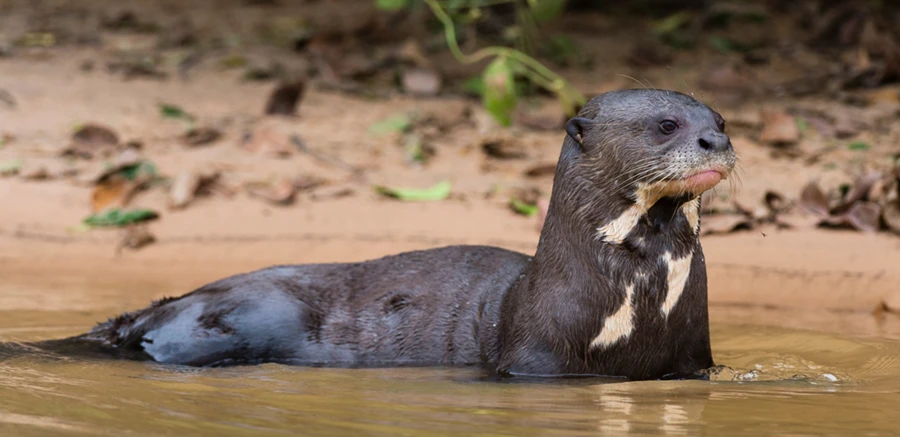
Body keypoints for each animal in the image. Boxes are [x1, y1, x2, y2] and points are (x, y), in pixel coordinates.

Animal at [41, 89, 735, 380]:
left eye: (721, 120)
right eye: (666, 124)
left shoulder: (693, 359)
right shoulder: (534, 360)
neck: (637, 305)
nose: (716, 141)